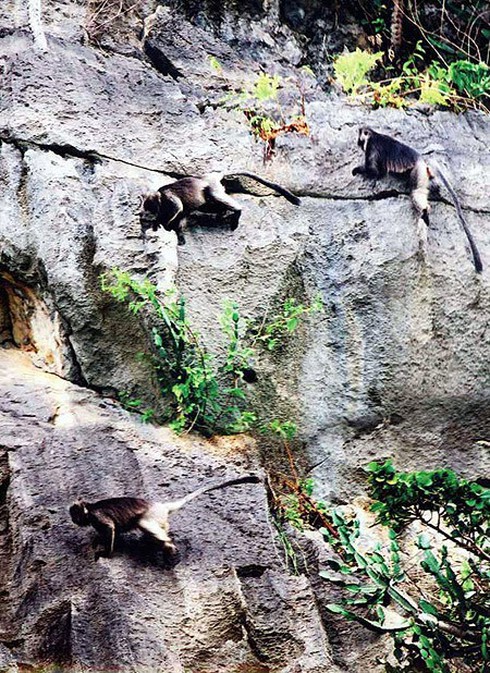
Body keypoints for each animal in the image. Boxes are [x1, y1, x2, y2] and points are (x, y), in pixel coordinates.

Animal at [69, 474, 260, 558]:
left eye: (75, 516)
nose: (74, 521)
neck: (89, 508)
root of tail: (160, 505)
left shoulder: (97, 517)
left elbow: (110, 528)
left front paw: (106, 552)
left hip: (153, 515)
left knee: (144, 523)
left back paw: (168, 545)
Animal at [140, 172, 301, 245]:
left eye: (152, 207)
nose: (149, 214)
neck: (160, 197)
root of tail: (209, 176)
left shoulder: (168, 197)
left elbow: (177, 208)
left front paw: (163, 225)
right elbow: (181, 215)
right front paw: (178, 235)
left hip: (213, 188)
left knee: (215, 196)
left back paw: (237, 212)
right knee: (209, 204)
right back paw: (222, 214)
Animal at [352, 127, 482, 274]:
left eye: (361, 140)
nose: (359, 144)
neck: (373, 135)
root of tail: (423, 161)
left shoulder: (372, 147)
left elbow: (374, 171)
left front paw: (357, 170)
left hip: (418, 172)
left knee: (416, 192)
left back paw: (425, 211)